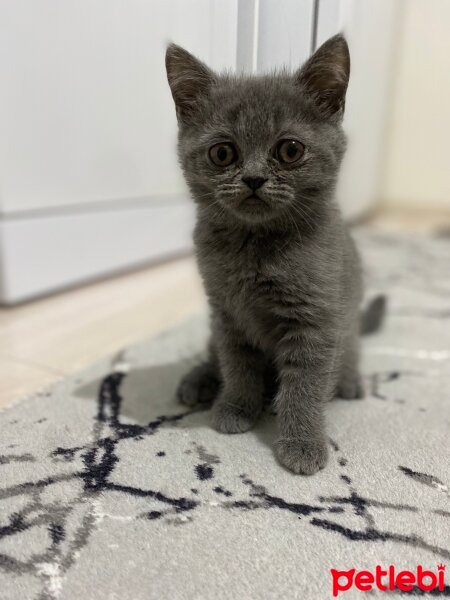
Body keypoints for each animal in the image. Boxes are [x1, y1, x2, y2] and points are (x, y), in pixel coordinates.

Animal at [164, 36, 384, 478]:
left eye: (290, 150)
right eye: (222, 154)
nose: (253, 178)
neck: (255, 249)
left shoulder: (315, 320)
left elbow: (304, 386)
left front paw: (302, 444)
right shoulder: (226, 311)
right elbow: (236, 363)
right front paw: (235, 407)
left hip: (348, 317)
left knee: (351, 345)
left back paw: (350, 381)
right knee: (214, 353)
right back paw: (198, 380)